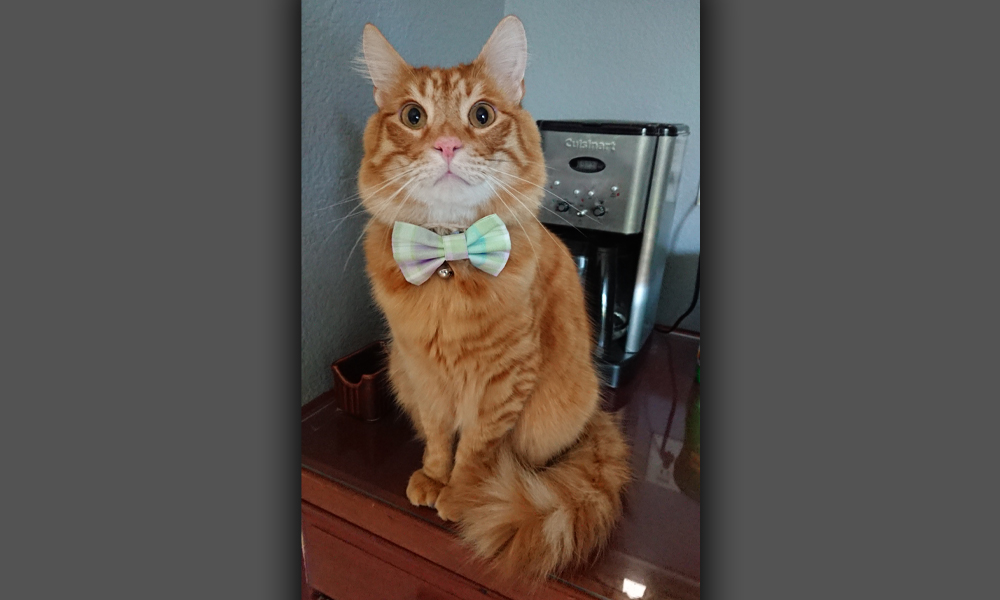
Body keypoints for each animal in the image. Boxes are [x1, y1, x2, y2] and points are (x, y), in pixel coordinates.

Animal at [356, 17, 628, 580]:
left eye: (481, 115)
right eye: (413, 116)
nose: (446, 145)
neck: (447, 259)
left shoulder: (504, 379)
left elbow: (477, 449)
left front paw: (463, 495)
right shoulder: (423, 373)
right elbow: (440, 437)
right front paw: (433, 476)